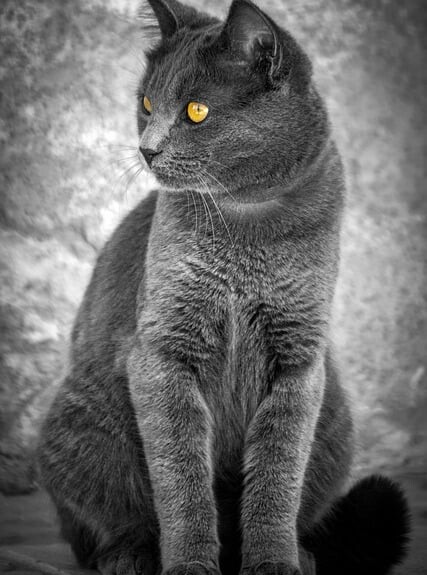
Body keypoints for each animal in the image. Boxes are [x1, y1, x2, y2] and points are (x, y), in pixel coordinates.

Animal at [38, 1, 410, 574]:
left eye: (195, 111)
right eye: (146, 104)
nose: (147, 149)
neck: (245, 222)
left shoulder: (299, 359)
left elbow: (277, 476)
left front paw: (275, 561)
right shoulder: (161, 353)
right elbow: (182, 478)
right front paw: (190, 564)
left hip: (336, 421)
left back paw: (304, 553)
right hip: (82, 426)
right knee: (103, 522)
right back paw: (130, 555)